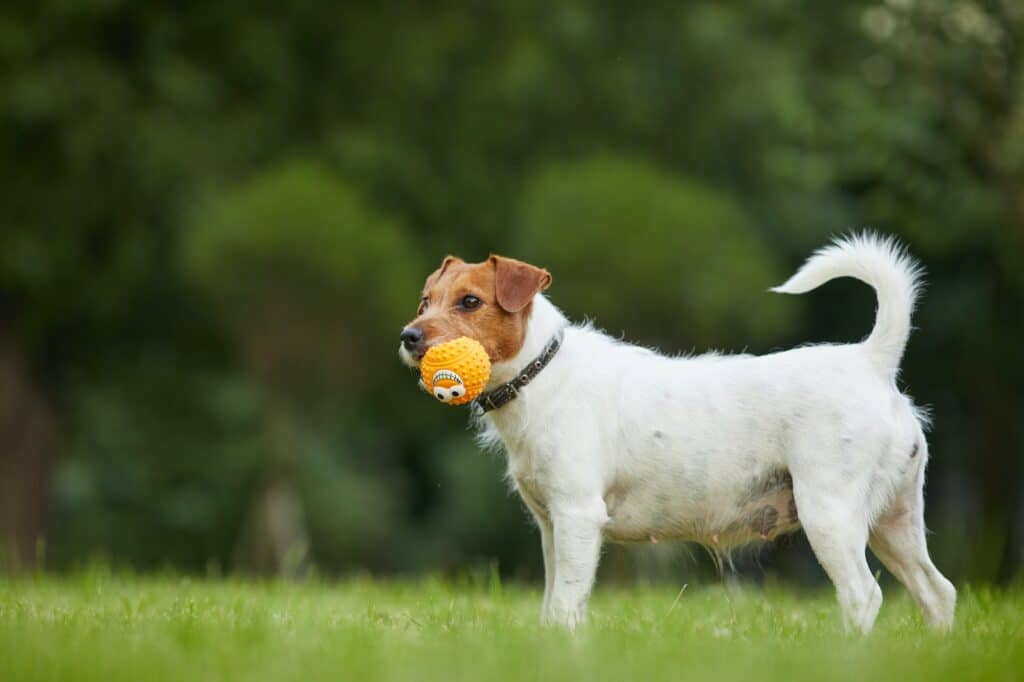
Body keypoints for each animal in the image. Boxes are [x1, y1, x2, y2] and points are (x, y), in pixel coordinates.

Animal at [397, 235, 950, 630]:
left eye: (470, 302)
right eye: (425, 301)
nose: (408, 336)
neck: (542, 371)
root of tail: (871, 361)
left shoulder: (577, 517)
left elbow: (568, 604)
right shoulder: (550, 525)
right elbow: (553, 605)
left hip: (830, 513)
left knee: (863, 596)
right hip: (894, 519)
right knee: (937, 592)